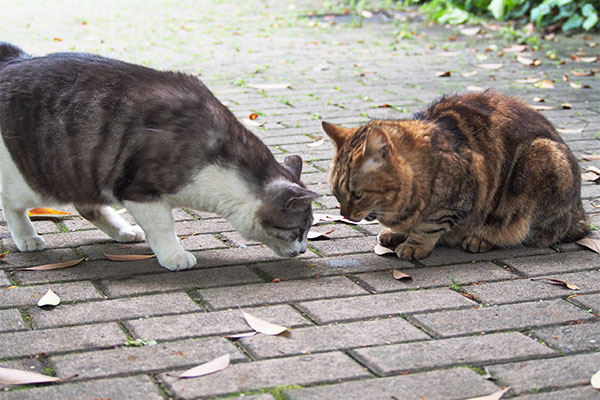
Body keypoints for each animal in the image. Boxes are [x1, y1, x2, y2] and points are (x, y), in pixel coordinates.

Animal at [0, 43, 318, 272]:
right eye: (299, 230)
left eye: (307, 231)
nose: (303, 249)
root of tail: (13, 59)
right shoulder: (140, 191)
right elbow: (164, 226)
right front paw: (174, 256)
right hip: (33, 178)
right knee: (12, 206)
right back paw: (27, 238)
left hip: (82, 170)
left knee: (88, 206)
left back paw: (123, 231)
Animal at [324, 90, 592, 260]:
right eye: (336, 194)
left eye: (357, 194)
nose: (344, 214)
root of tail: (579, 211)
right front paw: (399, 233)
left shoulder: (460, 196)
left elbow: (430, 224)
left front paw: (414, 243)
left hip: (540, 159)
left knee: (535, 232)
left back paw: (481, 239)